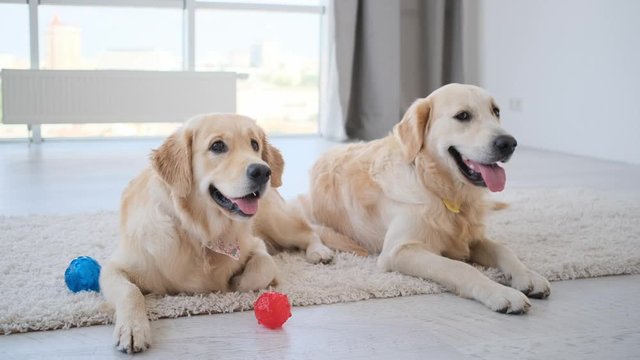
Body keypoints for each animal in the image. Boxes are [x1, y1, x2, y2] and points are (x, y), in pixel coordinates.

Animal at [99, 114, 336, 352]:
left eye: (255, 144)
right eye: (217, 146)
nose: (263, 171)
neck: (201, 233)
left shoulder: (255, 244)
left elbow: (263, 266)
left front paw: (238, 281)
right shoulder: (115, 268)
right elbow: (130, 291)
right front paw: (132, 329)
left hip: (277, 222)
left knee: (308, 232)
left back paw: (320, 252)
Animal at [304, 83, 552, 314]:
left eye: (496, 111)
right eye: (463, 116)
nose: (508, 143)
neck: (439, 188)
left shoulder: (472, 238)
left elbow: (504, 249)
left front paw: (528, 276)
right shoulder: (399, 250)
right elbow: (461, 268)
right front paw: (501, 293)